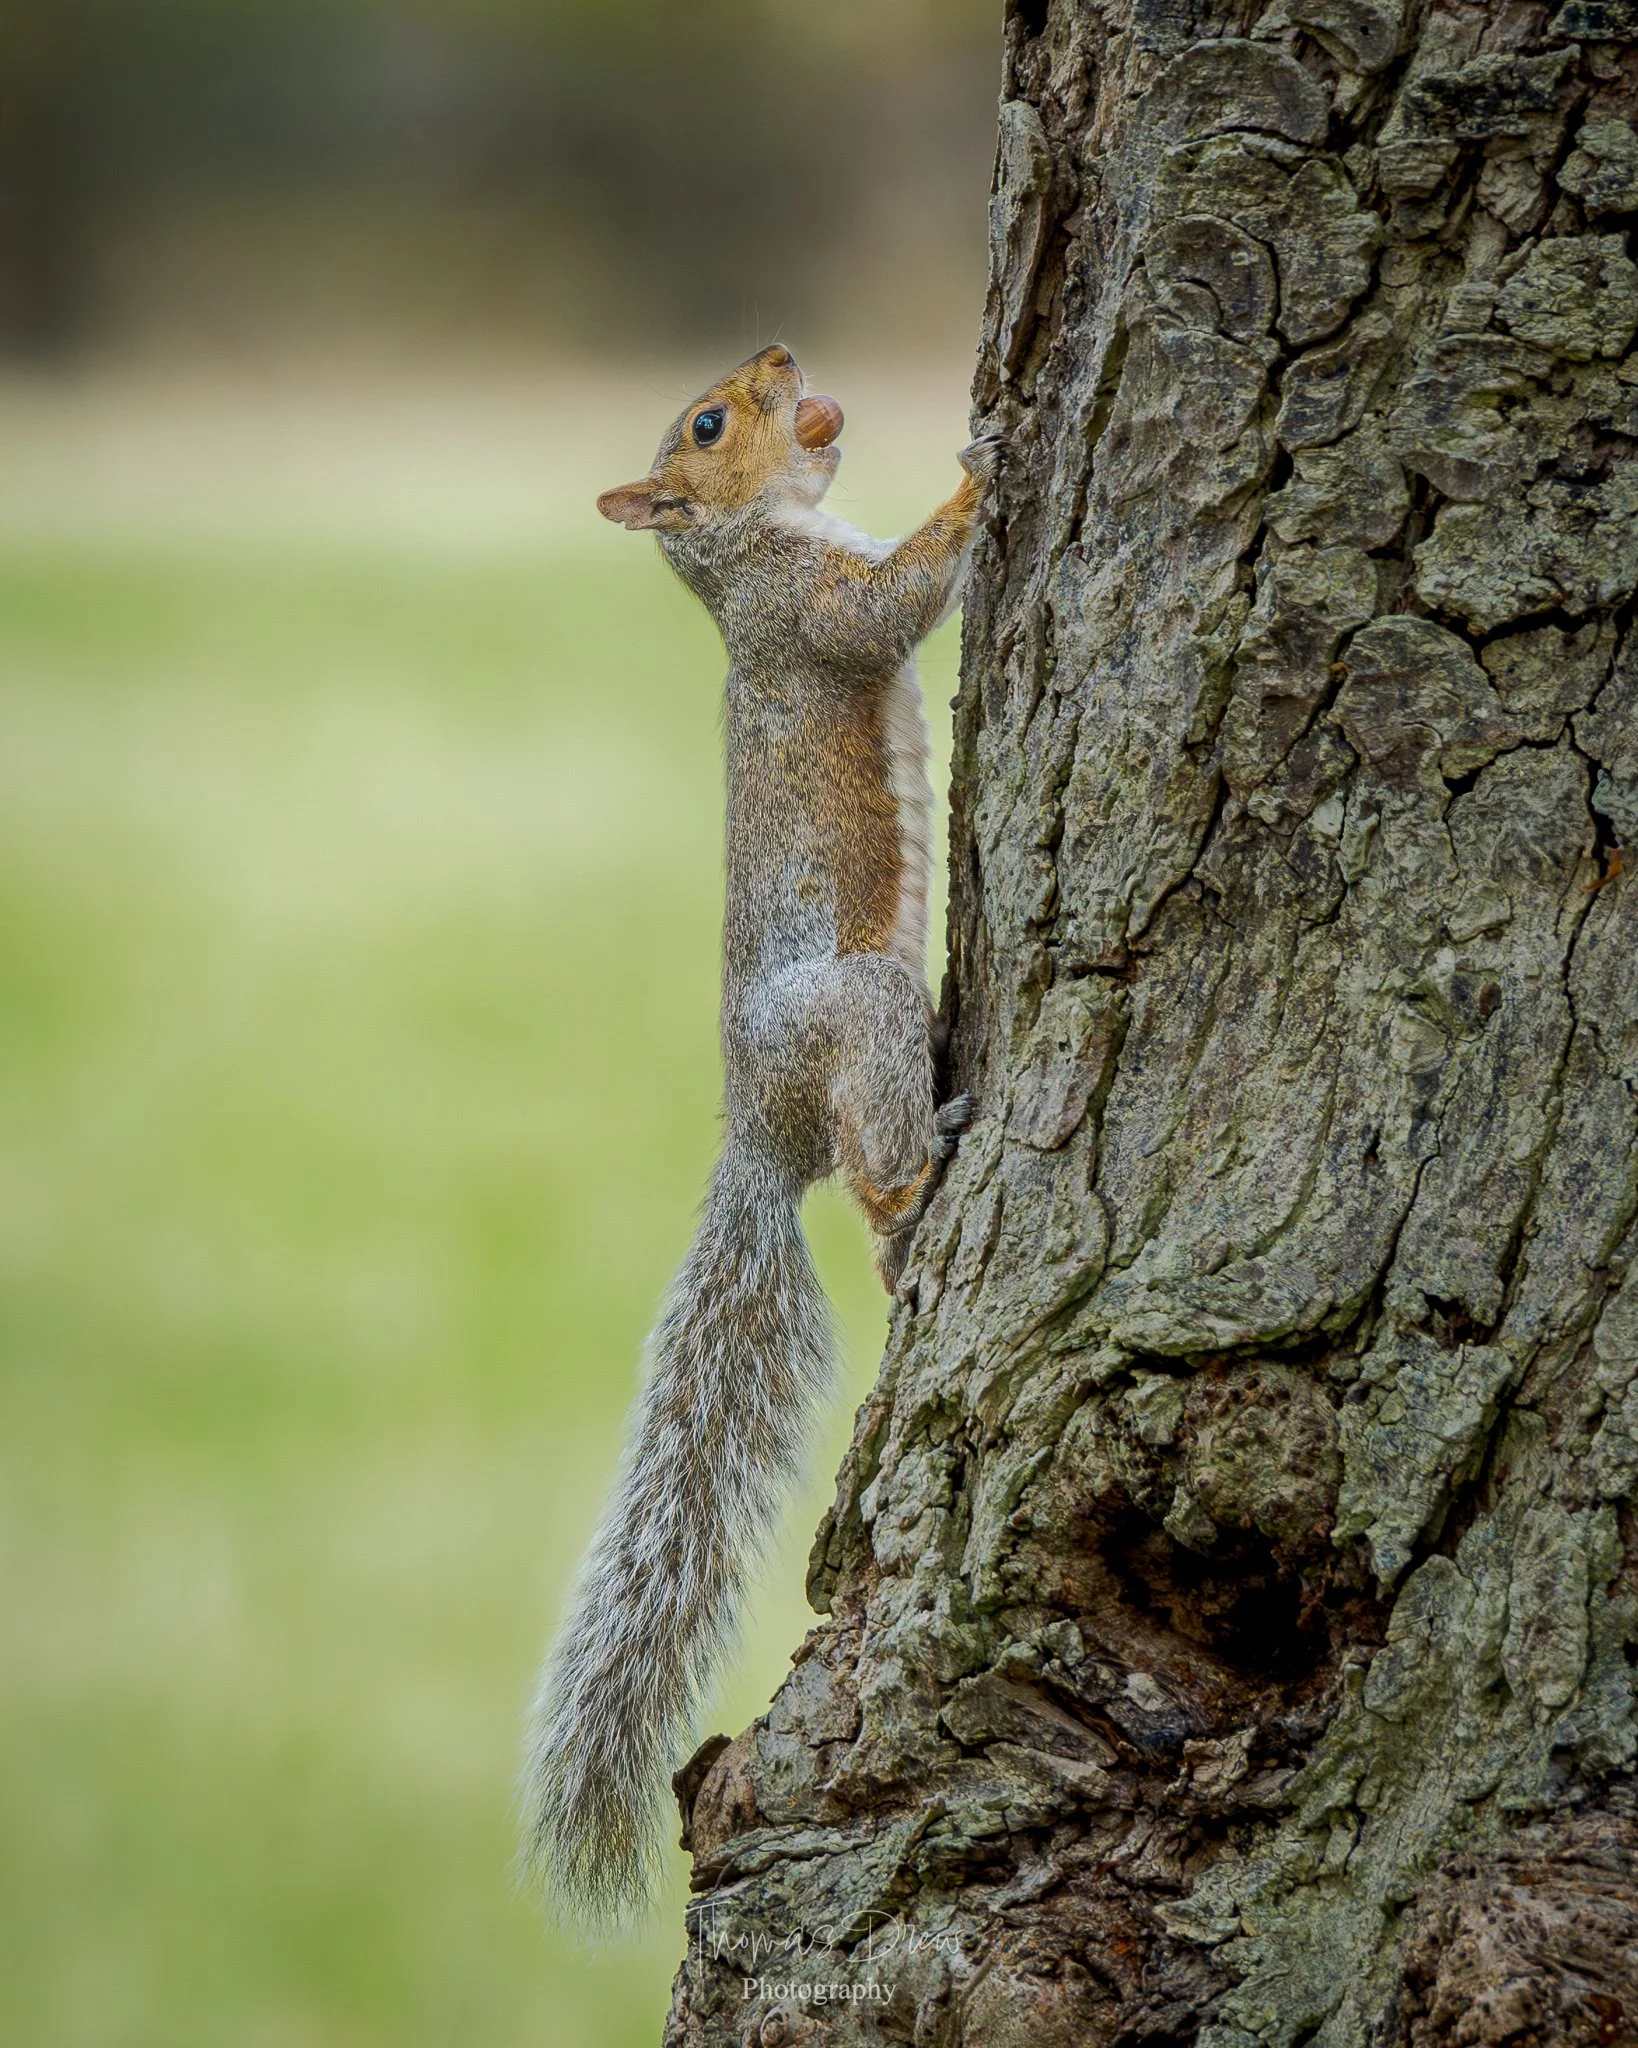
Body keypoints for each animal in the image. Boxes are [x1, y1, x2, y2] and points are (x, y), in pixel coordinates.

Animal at [521, 344, 1001, 1926]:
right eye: (709, 422)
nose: (785, 358)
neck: (752, 550)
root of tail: (759, 1136)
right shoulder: (813, 617)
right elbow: (889, 602)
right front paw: (978, 475)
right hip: (857, 1009)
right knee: (868, 1172)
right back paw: (923, 1167)